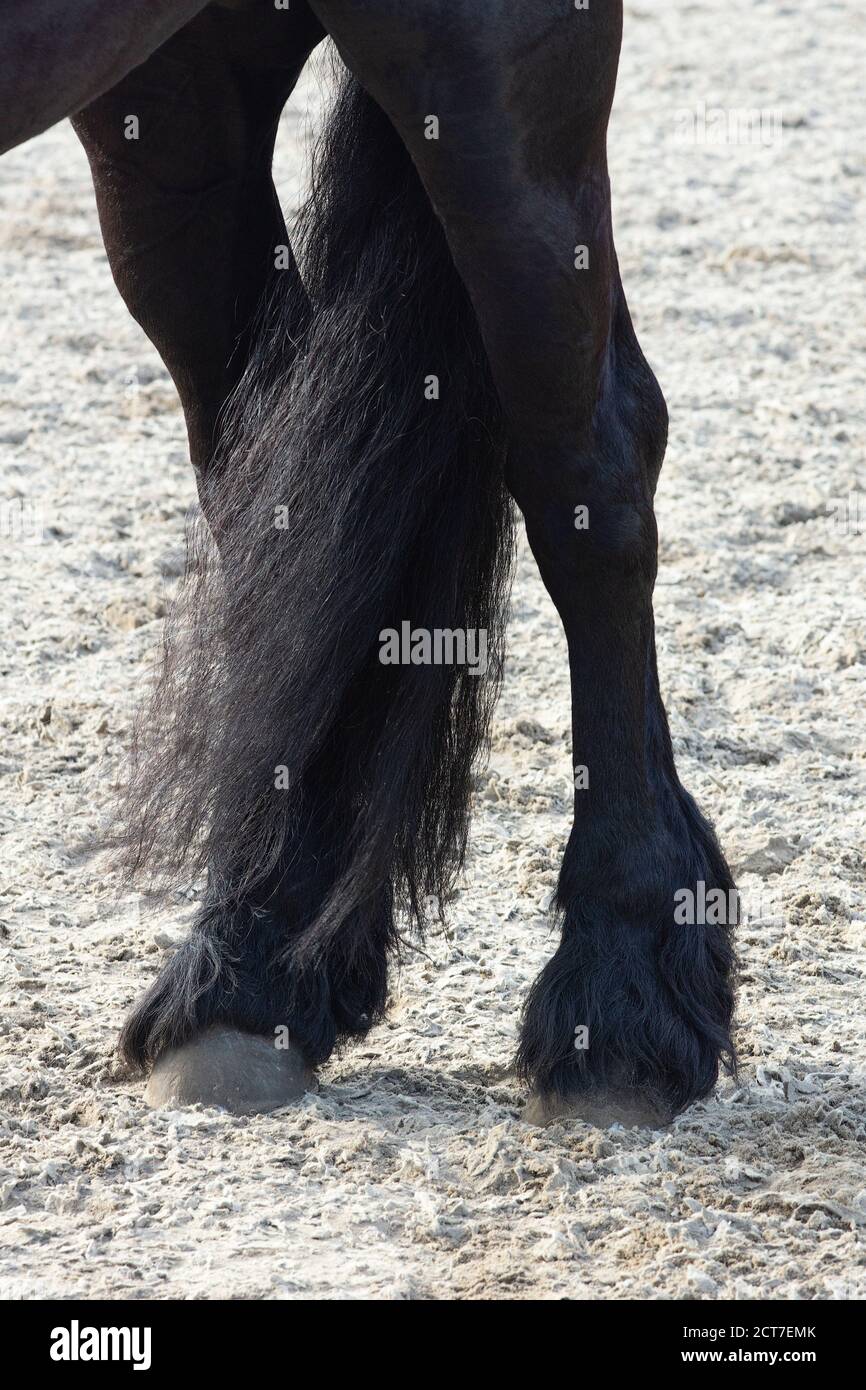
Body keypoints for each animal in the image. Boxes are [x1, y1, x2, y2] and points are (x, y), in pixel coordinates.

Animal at [1, 0, 739, 1123]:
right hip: (168, 86)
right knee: (264, 460)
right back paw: (252, 966)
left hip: (490, 66)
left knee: (590, 462)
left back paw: (619, 999)